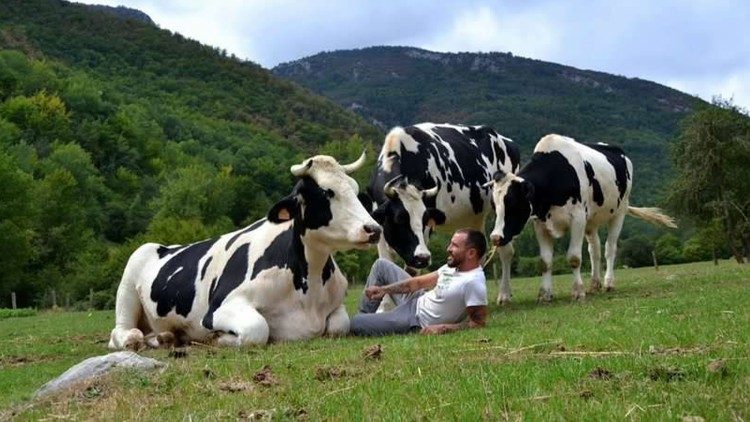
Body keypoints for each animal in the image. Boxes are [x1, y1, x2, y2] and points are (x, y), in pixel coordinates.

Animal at [110, 152, 382, 350]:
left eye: (355, 191)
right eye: (327, 192)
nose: (373, 229)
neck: (309, 287)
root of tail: (162, 246)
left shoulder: (336, 306)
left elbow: (340, 324)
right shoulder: (219, 308)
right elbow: (257, 329)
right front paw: (219, 339)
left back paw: (166, 338)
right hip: (129, 279)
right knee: (119, 331)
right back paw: (134, 339)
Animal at [360, 122, 524, 304]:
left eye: (425, 219)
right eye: (399, 218)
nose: (423, 258)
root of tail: (502, 138)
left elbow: (411, 272)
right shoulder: (381, 224)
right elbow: (384, 260)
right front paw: (386, 305)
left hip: (501, 209)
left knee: (505, 250)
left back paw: (504, 295)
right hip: (474, 216)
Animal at [490, 134, 680, 302]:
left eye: (513, 203)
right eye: (494, 206)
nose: (495, 237)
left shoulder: (578, 219)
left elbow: (574, 258)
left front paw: (578, 291)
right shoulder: (541, 224)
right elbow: (545, 261)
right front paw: (545, 294)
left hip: (619, 211)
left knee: (609, 248)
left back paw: (608, 283)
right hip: (591, 222)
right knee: (594, 250)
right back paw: (594, 284)